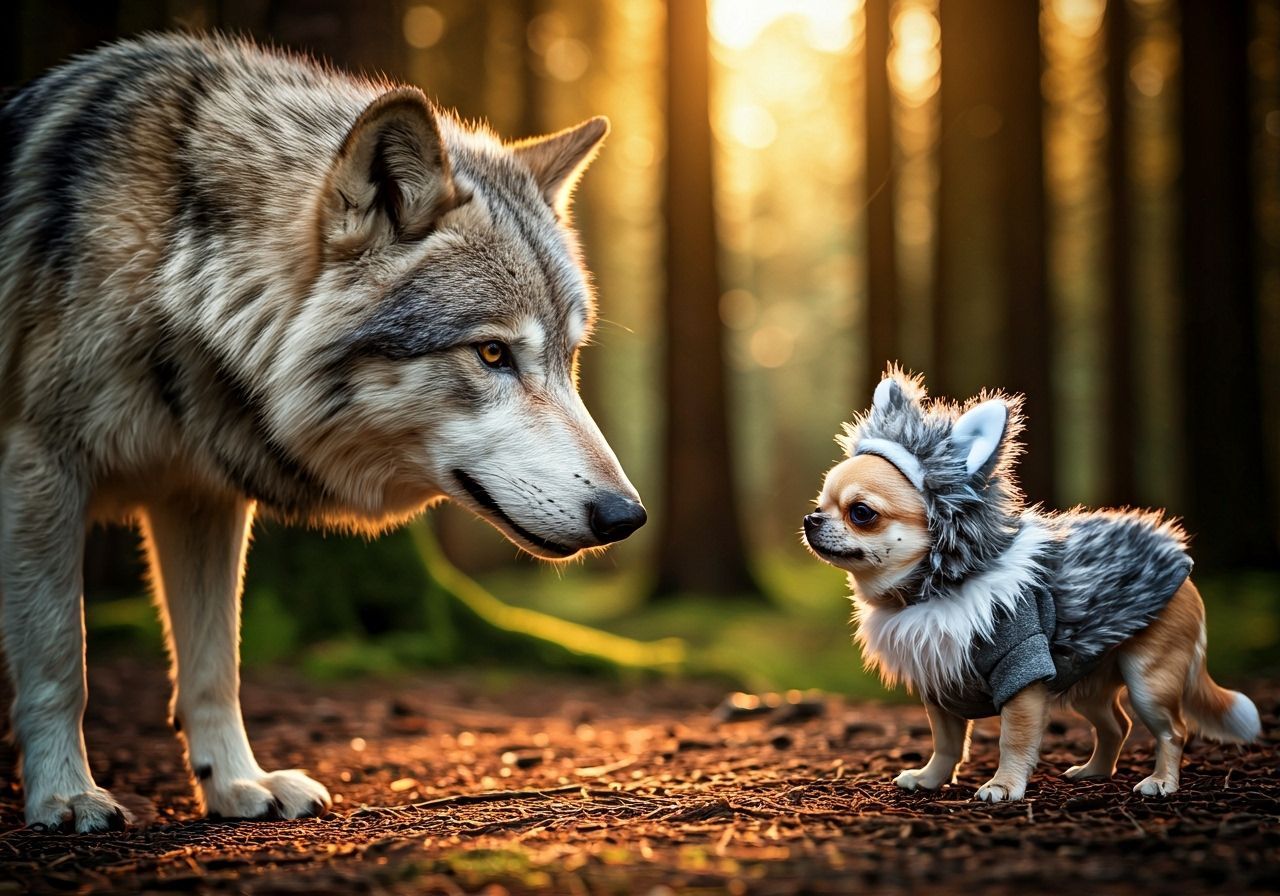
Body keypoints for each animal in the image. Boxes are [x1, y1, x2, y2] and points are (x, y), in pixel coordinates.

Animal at [0, 33, 646, 832]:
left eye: (569, 357)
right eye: (493, 353)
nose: (627, 516)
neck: (172, 265)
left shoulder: (199, 496)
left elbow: (215, 665)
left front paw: (236, 784)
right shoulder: (40, 463)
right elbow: (61, 654)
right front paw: (64, 794)